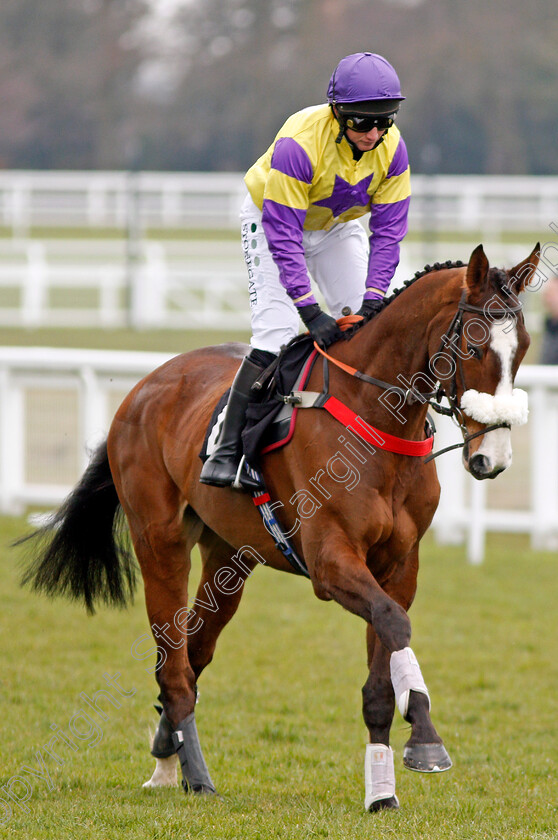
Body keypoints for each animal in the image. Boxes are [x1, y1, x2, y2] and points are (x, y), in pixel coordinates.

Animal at [21, 241, 544, 808]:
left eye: (523, 348)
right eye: (473, 347)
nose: (492, 457)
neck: (376, 421)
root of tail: (145, 386)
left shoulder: (398, 565)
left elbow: (383, 666)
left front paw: (382, 791)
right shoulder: (331, 562)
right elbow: (395, 623)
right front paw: (426, 740)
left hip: (229, 558)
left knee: (193, 653)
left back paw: (167, 754)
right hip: (159, 542)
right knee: (173, 663)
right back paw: (195, 775)